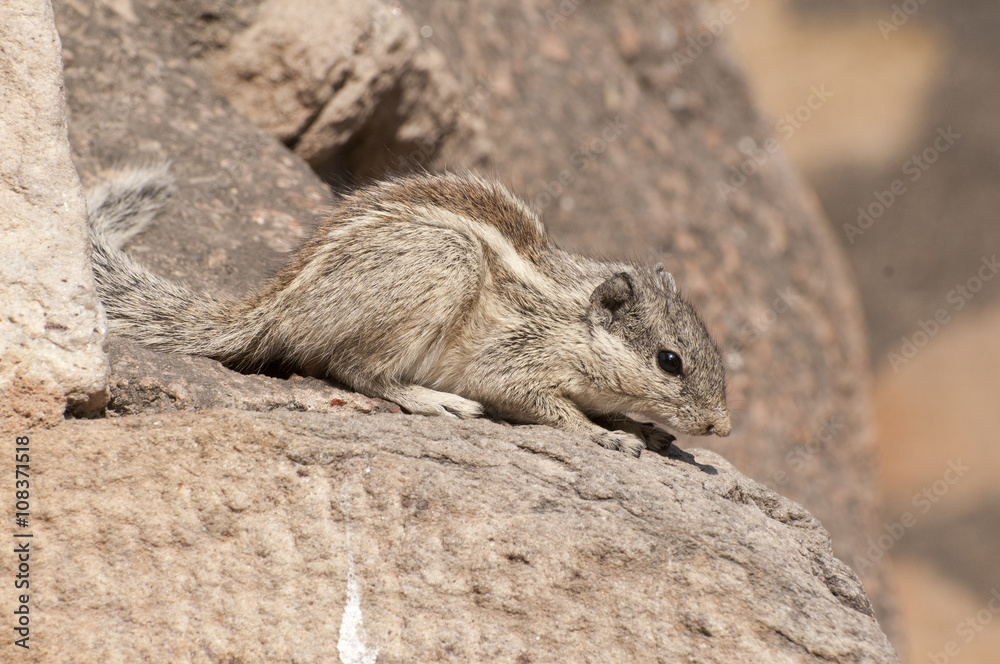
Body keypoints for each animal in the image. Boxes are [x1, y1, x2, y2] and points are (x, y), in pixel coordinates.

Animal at [87, 164, 732, 456]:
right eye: (670, 361)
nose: (721, 428)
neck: (573, 317)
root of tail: (277, 306)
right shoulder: (513, 359)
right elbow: (542, 405)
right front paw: (605, 435)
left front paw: (642, 427)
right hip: (445, 264)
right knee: (354, 370)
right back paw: (438, 401)